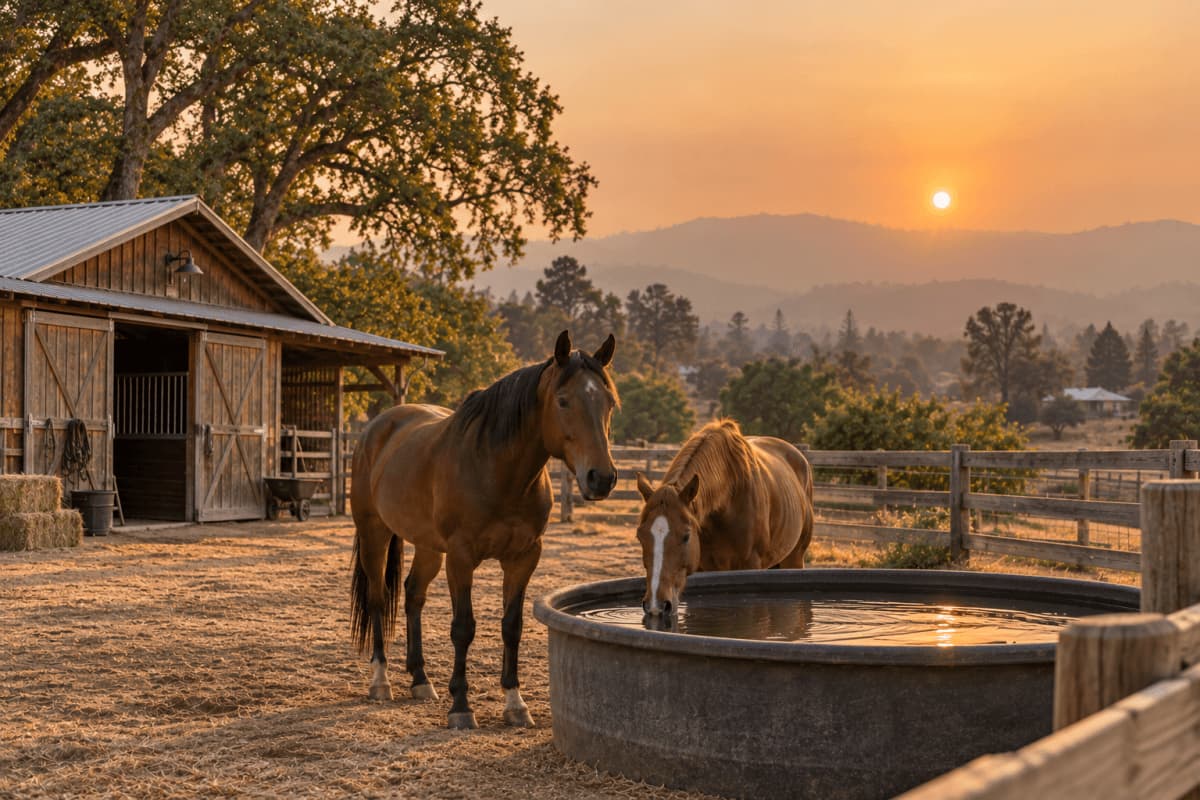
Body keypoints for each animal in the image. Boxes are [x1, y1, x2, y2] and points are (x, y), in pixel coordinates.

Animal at [350, 331, 619, 729]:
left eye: (609, 403)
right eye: (563, 401)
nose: (601, 478)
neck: (497, 470)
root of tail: (377, 427)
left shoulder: (524, 558)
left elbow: (512, 626)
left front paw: (515, 703)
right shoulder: (461, 558)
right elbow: (463, 627)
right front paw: (461, 706)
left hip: (428, 546)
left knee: (413, 595)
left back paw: (420, 679)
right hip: (374, 534)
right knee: (378, 600)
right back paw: (380, 681)